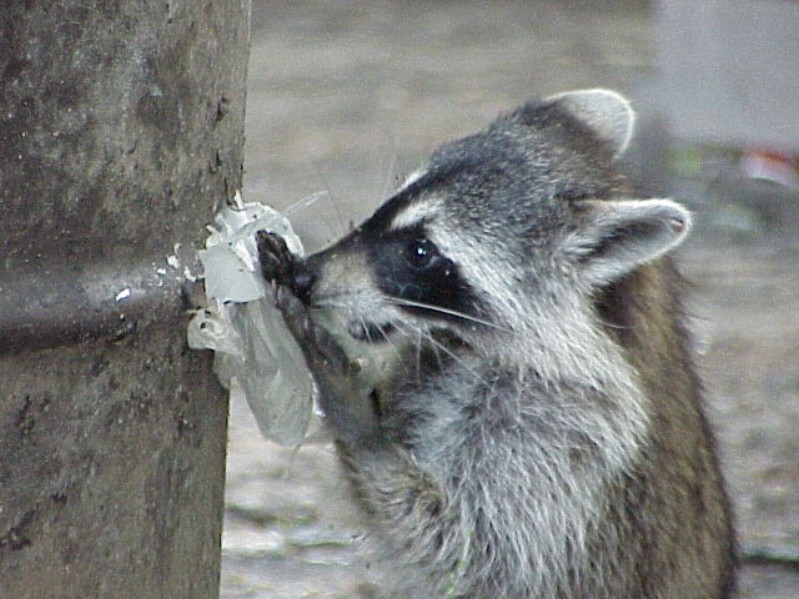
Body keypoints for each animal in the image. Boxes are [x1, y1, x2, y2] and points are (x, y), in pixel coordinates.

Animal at [258, 90, 736, 599]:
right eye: (386, 205)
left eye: (421, 252)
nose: (306, 277)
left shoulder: (564, 431)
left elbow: (471, 552)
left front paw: (361, 427)